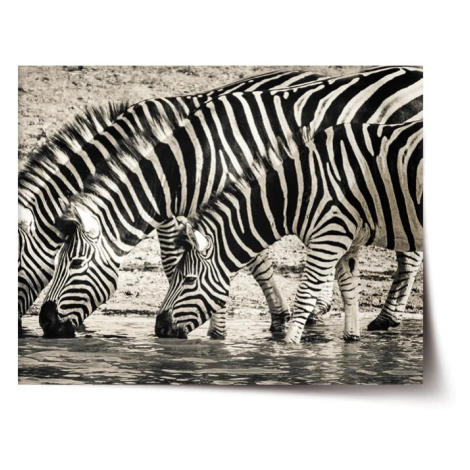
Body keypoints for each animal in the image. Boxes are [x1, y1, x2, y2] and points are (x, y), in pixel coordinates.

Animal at [156, 120, 423, 343]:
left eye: (189, 280)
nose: (159, 328)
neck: (296, 191)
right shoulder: (348, 240)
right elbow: (349, 292)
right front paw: (351, 340)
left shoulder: (328, 237)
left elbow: (305, 295)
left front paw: (288, 347)